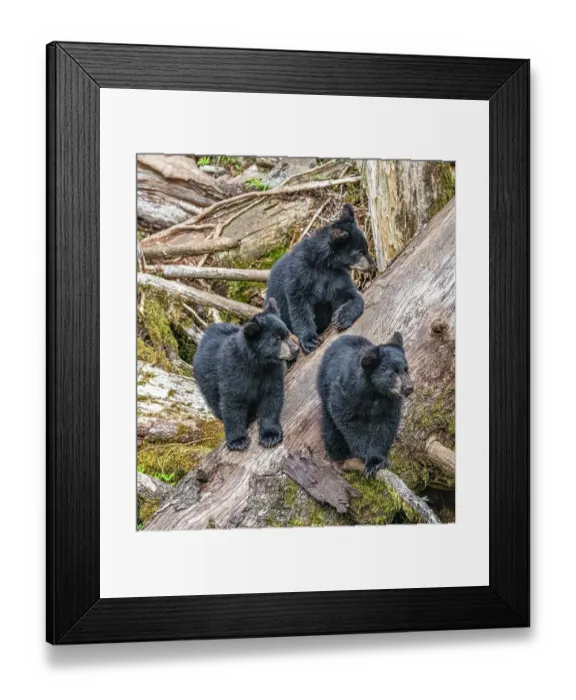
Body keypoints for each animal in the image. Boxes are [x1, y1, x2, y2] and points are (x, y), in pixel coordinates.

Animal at [193, 298, 299, 451]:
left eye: (287, 333)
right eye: (277, 339)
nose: (296, 349)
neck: (257, 364)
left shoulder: (272, 371)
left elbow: (271, 397)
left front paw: (270, 435)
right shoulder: (232, 372)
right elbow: (232, 402)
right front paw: (238, 440)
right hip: (206, 381)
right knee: (215, 403)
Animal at [265, 203, 376, 354]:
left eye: (366, 248)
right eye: (359, 252)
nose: (373, 265)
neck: (323, 264)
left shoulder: (336, 276)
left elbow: (349, 294)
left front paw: (341, 317)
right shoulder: (300, 274)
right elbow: (299, 306)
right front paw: (310, 341)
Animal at [317, 332, 414, 477]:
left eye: (406, 369)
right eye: (392, 373)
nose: (408, 388)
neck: (374, 391)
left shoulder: (389, 399)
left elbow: (385, 424)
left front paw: (376, 461)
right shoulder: (347, 392)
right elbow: (348, 421)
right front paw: (366, 456)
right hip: (324, 392)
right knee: (331, 433)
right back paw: (339, 458)